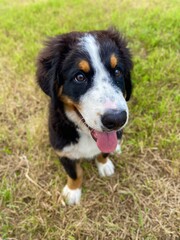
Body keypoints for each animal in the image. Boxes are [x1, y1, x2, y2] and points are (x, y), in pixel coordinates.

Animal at [36, 27, 132, 204]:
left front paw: (104, 165)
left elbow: (103, 153)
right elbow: (74, 173)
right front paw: (72, 192)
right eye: (80, 77)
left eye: (117, 71)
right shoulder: (64, 151)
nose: (116, 120)